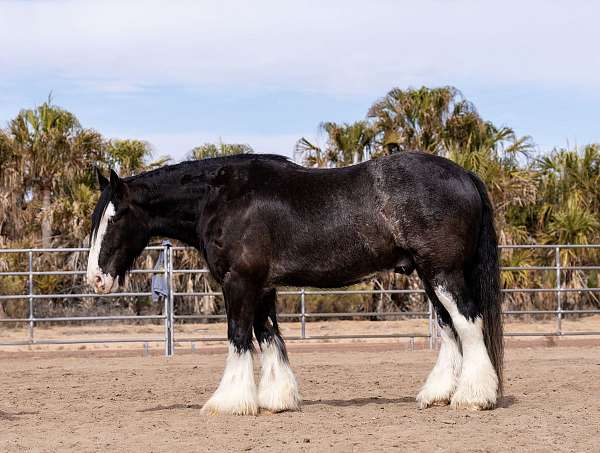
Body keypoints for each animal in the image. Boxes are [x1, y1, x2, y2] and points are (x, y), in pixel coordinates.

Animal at [86, 154, 504, 414]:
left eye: (116, 215)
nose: (95, 279)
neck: (221, 198)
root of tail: (465, 175)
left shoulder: (239, 283)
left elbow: (239, 335)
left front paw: (229, 401)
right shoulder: (262, 286)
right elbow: (269, 336)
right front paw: (278, 398)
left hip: (444, 273)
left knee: (468, 323)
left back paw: (474, 397)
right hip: (428, 276)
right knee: (449, 329)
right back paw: (438, 395)